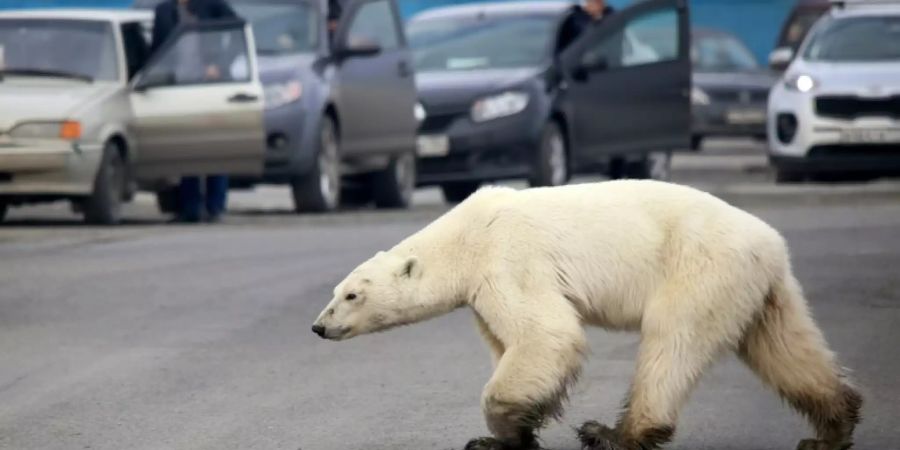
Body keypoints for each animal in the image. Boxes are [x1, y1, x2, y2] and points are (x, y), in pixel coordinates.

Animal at [312, 180, 860, 450]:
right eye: (336, 291)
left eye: (352, 295)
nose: (319, 326)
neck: (464, 236)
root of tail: (771, 244)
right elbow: (509, 343)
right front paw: (512, 433)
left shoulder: (508, 260)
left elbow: (545, 334)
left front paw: (500, 433)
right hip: (760, 288)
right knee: (785, 347)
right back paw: (831, 429)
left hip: (699, 267)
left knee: (671, 342)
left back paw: (614, 434)